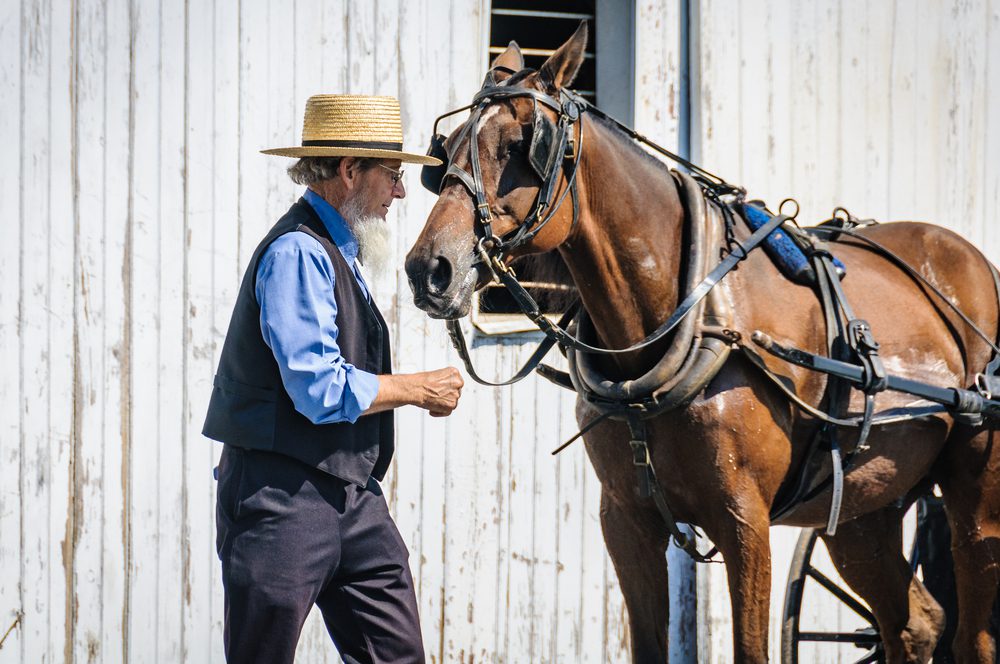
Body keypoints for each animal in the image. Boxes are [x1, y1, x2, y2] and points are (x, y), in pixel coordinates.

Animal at [402, 23, 1000, 660]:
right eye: (448, 149)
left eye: (521, 145)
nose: (429, 269)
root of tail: (975, 262)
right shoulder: (626, 521)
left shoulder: (745, 524)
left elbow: (751, 647)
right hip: (867, 503)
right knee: (913, 623)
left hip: (975, 499)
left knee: (973, 631)